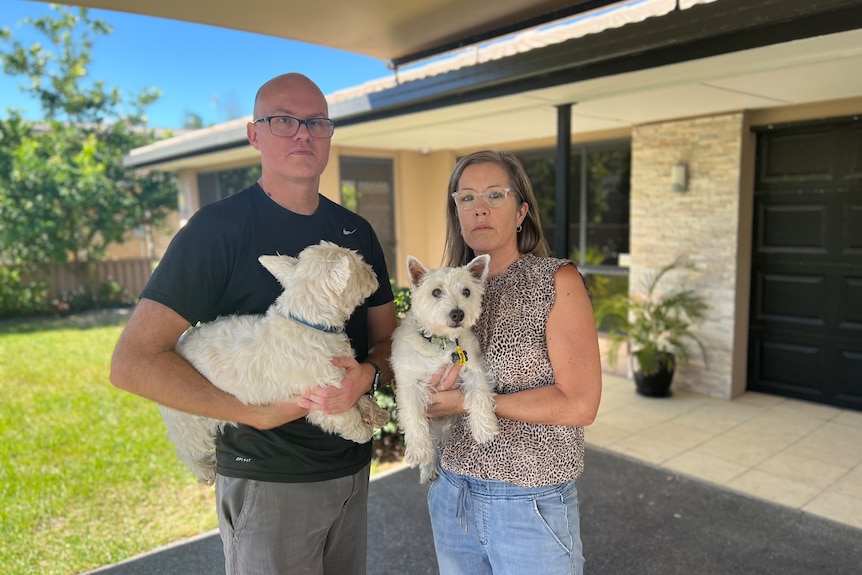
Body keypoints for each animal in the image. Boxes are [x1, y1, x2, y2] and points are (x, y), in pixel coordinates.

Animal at [159, 240, 392, 486]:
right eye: (360, 267)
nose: (374, 273)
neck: (309, 323)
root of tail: (180, 344)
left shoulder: (344, 379)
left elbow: (358, 396)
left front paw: (376, 413)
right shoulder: (322, 397)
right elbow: (346, 416)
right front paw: (363, 431)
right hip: (189, 421)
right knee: (188, 450)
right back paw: (205, 471)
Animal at [392, 254, 500, 484]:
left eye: (466, 291)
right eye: (435, 292)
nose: (457, 314)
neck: (441, 342)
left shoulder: (474, 369)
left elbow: (480, 394)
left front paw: (485, 429)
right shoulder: (409, 384)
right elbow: (413, 417)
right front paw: (418, 453)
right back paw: (428, 469)